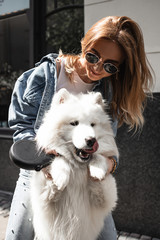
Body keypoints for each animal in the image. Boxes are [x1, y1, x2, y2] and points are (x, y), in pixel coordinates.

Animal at [31, 88, 119, 240]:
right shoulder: (44, 196)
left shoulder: (106, 198)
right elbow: (60, 157)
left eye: (92, 124)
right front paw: (61, 176)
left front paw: (97, 169)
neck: (78, 167)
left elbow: (98, 157)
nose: (91, 140)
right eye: (74, 123)